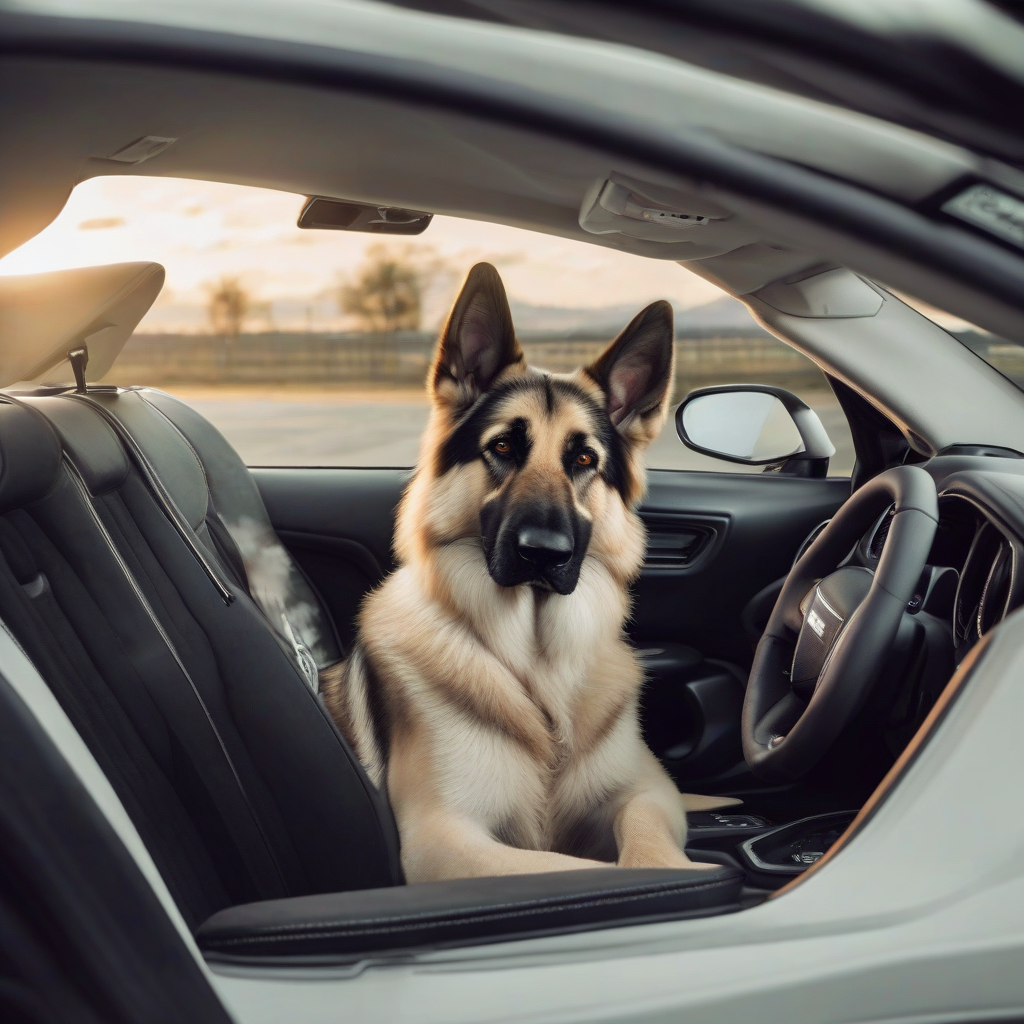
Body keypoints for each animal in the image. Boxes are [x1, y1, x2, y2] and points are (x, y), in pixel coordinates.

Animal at [323, 264, 733, 880]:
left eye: (584, 460)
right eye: (503, 447)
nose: (545, 554)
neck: (537, 666)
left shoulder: (646, 791)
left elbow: (649, 850)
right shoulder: (444, 837)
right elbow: (584, 873)